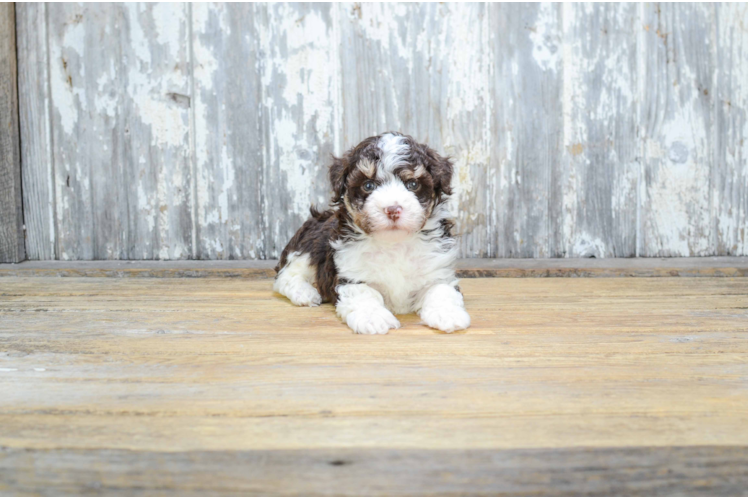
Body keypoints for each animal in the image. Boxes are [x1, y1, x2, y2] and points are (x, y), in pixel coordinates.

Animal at [274, 132, 470, 336]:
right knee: (285, 276)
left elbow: (441, 290)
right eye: (368, 186)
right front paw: (372, 317)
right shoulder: (351, 275)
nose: (393, 209)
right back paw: (305, 293)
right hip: (310, 244)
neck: (394, 243)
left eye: (413, 184)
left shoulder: (437, 270)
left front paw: (448, 314)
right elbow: (364, 293)